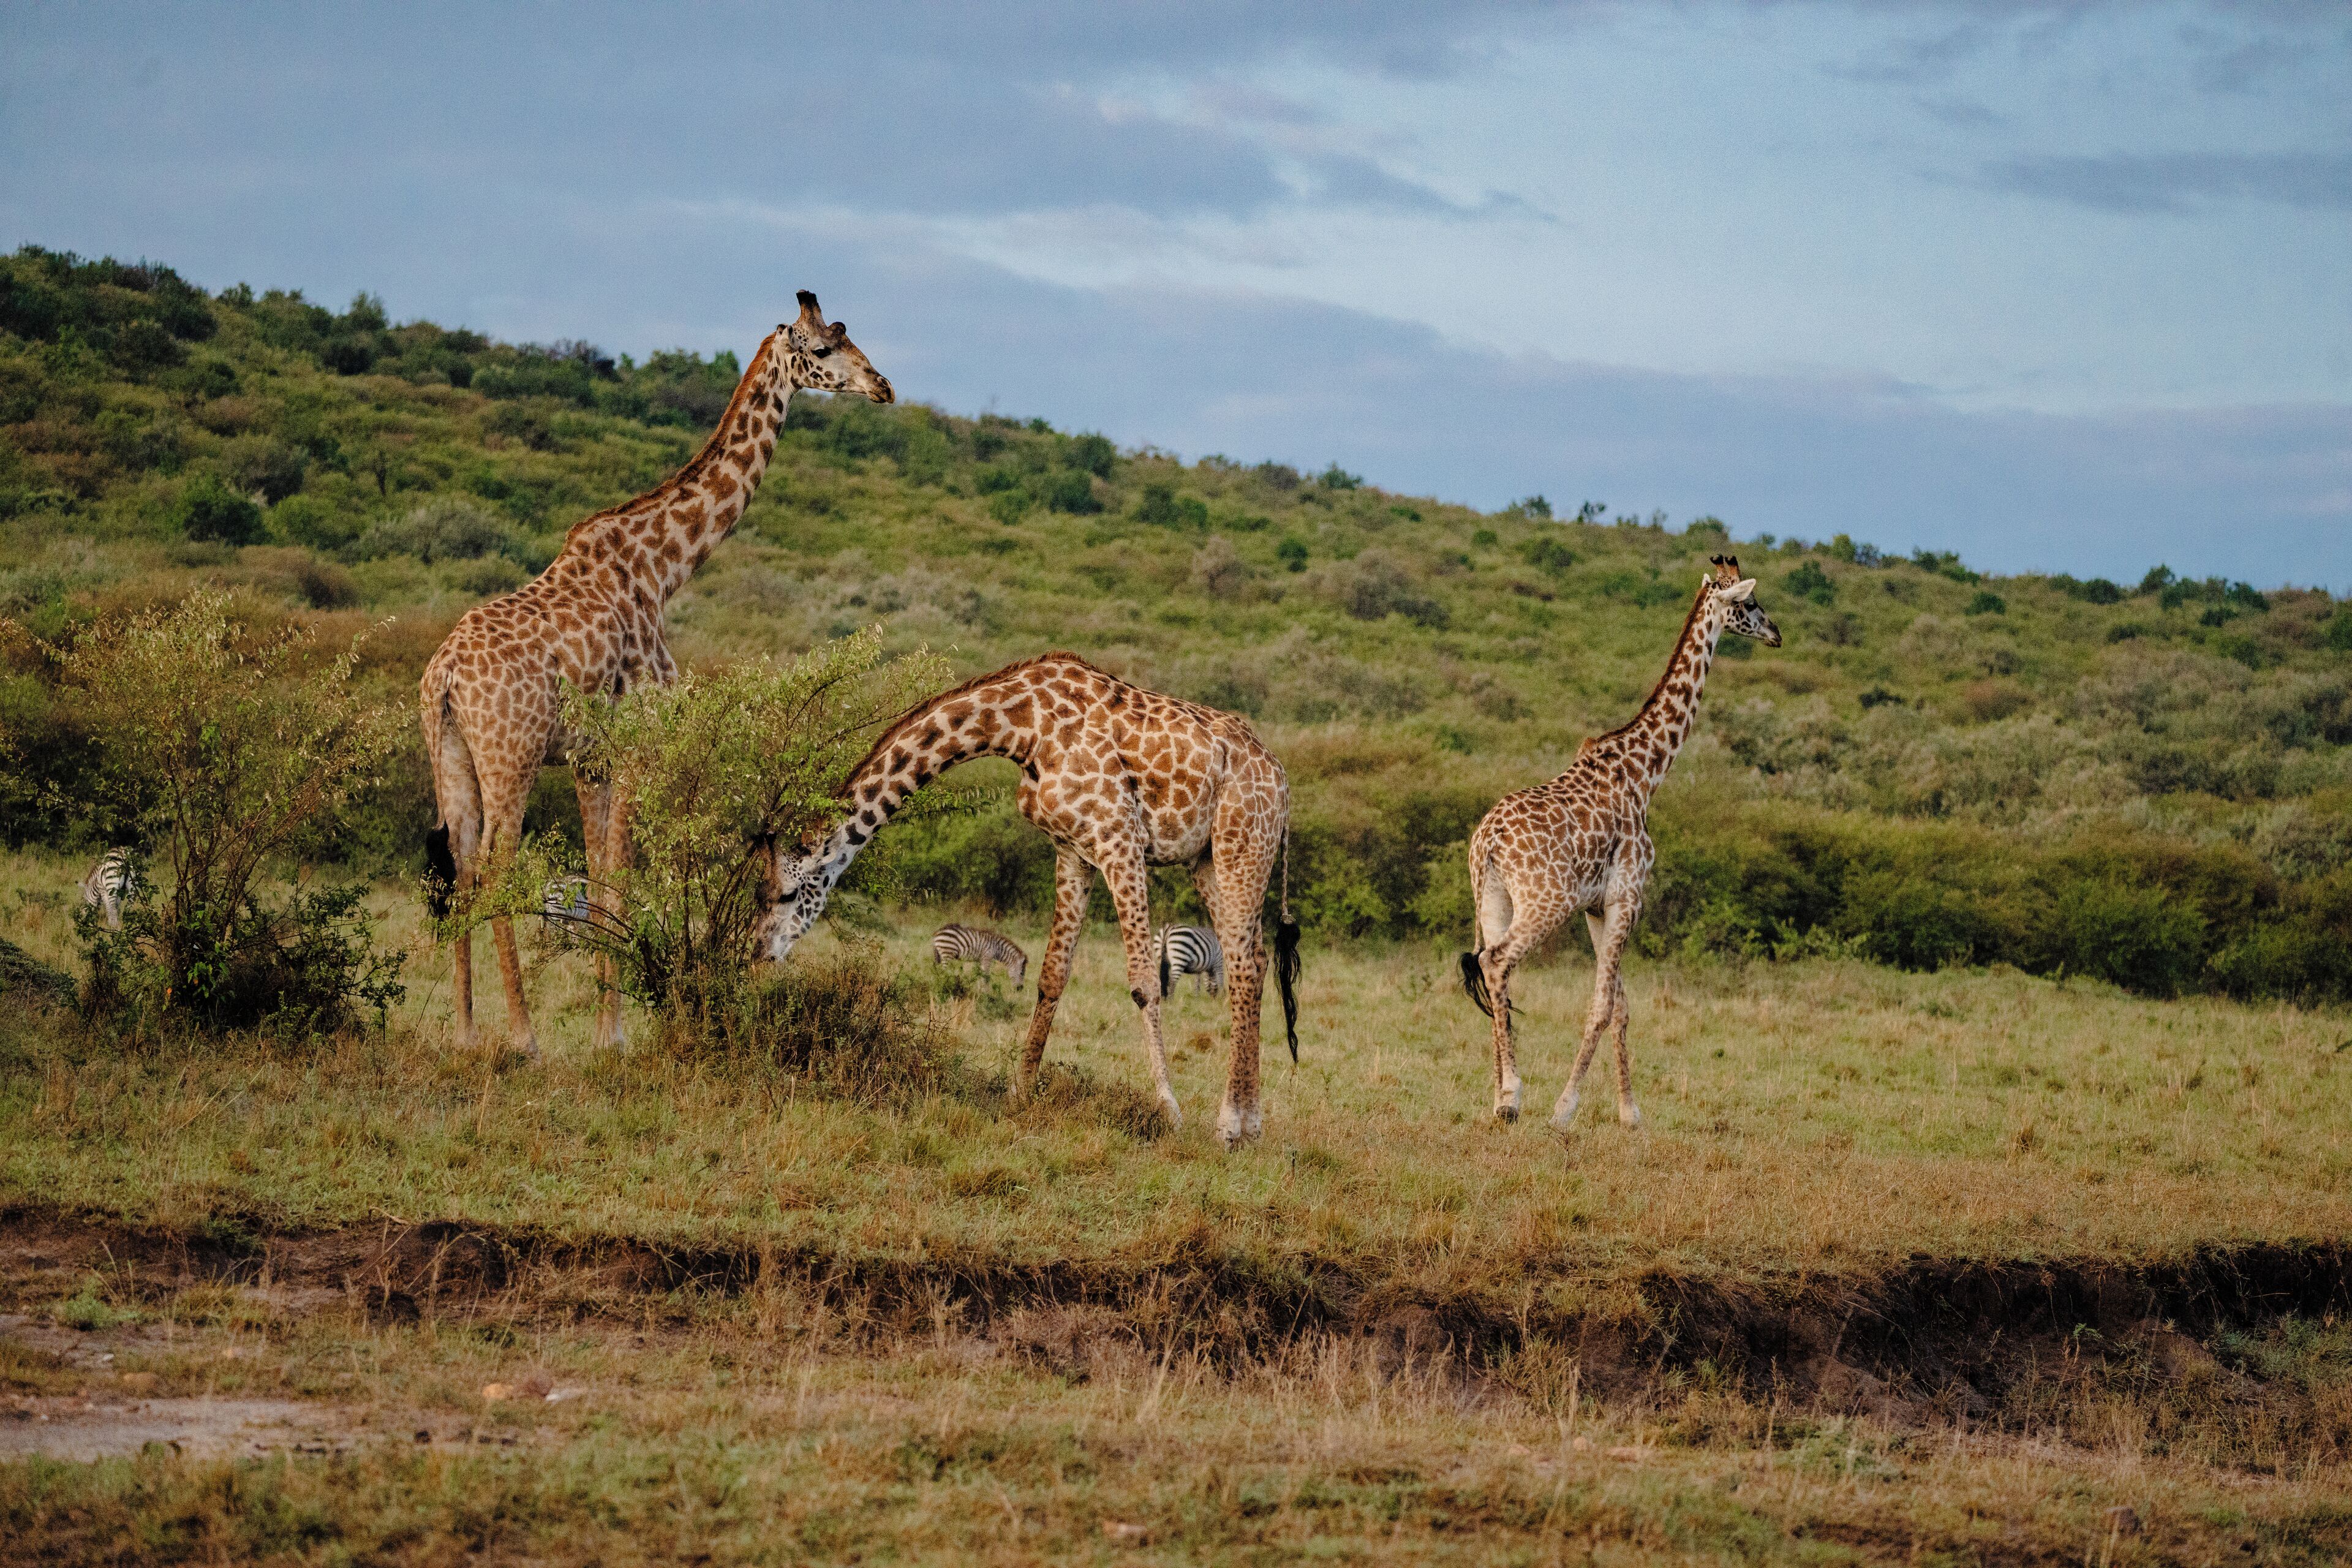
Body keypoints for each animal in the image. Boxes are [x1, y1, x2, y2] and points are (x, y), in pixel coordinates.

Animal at [420, 292, 892, 1059]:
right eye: (825, 350)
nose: (882, 386)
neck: (663, 568)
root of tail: (446, 677)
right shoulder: (640, 741)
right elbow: (618, 883)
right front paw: (611, 1037)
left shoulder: (591, 759)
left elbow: (601, 884)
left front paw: (604, 1028)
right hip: (512, 754)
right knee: (495, 868)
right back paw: (522, 1035)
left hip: (452, 753)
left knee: (460, 867)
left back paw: (463, 1031)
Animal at [747, 653, 1302, 1146]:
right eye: (759, 894)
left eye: (787, 894)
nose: (759, 955)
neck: (1021, 727)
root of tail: (1281, 778)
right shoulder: (1073, 851)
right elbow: (1052, 975)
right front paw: (1019, 1092)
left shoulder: (1119, 838)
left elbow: (1144, 981)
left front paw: (1168, 1111)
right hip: (1205, 859)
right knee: (1250, 959)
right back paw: (1248, 1124)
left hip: (1242, 843)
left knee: (1243, 964)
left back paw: (1231, 1126)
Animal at [1460, 555, 1779, 1128]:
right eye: (1748, 603)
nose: (1776, 633)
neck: (1647, 771)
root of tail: (1488, 841)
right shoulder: (1628, 894)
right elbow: (1604, 1005)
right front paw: (1565, 1109)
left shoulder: (1598, 904)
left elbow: (1622, 1005)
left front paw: (1630, 1111)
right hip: (1546, 901)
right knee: (1497, 962)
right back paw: (1514, 1093)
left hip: (1494, 897)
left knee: (1491, 969)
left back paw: (1501, 1098)